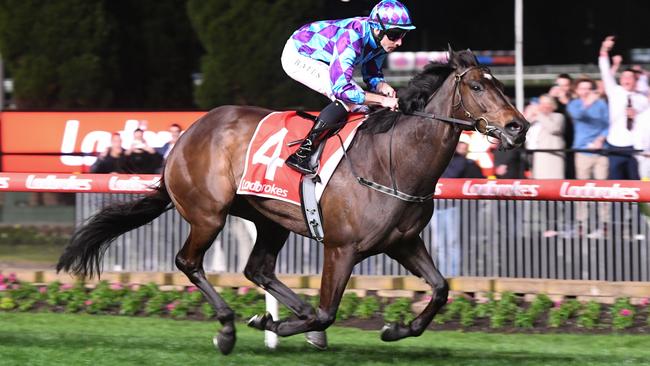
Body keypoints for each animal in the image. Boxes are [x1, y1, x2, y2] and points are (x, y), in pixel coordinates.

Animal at [57, 48, 528, 354]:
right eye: (476, 85)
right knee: (189, 262)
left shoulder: (403, 242)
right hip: (209, 214)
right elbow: (327, 311)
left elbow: (441, 289)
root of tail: (185, 136)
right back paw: (229, 328)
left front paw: (396, 328)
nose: (518, 127)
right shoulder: (341, 248)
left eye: (502, 85)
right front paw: (278, 324)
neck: (393, 159)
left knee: (258, 269)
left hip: (269, 219)